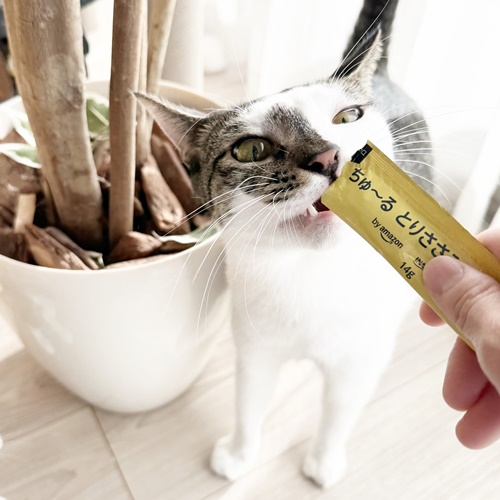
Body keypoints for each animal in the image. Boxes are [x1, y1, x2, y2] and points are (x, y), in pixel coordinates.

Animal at [137, 0, 435, 489]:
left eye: (348, 117)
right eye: (250, 149)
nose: (329, 156)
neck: (309, 277)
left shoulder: (360, 359)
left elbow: (339, 411)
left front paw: (324, 460)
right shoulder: (255, 346)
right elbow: (248, 403)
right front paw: (238, 454)